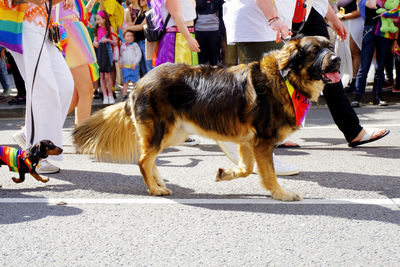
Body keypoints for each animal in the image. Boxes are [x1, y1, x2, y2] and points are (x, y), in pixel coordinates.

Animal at [72, 36, 340, 202]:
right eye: (315, 50)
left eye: (331, 47)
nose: (337, 59)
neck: (287, 79)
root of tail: (139, 83)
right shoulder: (262, 142)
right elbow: (268, 173)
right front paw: (281, 194)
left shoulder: (248, 142)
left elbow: (246, 169)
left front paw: (225, 174)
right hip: (162, 131)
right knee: (142, 161)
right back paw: (154, 189)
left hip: (173, 134)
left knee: (149, 159)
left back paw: (158, 183)